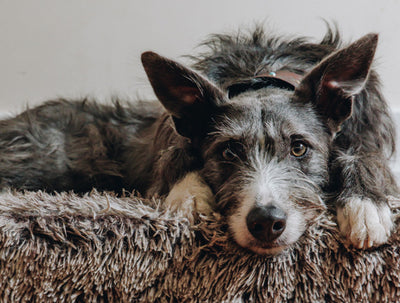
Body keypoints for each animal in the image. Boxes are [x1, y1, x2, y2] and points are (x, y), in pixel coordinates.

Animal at [0, 26, 396, 255]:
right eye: (229, 150)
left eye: (299, 147)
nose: (266, 223)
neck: (262, 75)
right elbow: (176, 158)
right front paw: (190, 198)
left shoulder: (363, 133)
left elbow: (364, 156)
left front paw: (365, 206)